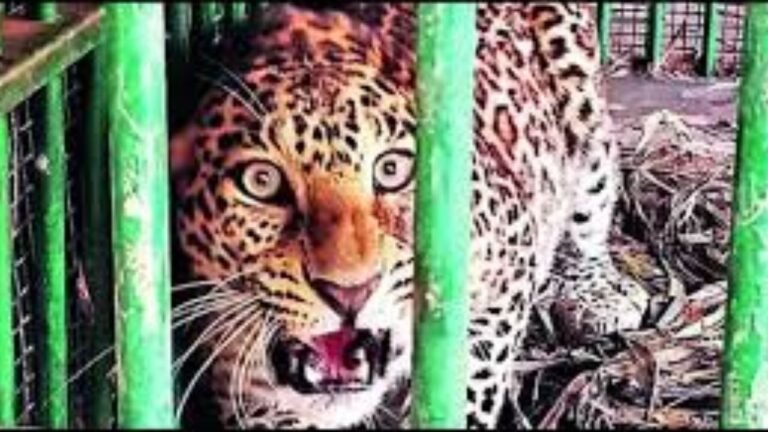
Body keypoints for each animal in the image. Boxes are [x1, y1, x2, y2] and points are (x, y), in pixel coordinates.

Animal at [169, 2, 650, 429]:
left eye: (392, 170)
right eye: (261, 181)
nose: (350, 293)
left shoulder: (507, 273)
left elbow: (467, 380)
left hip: (585, 110)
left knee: (590, 212)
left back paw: (599, 296)